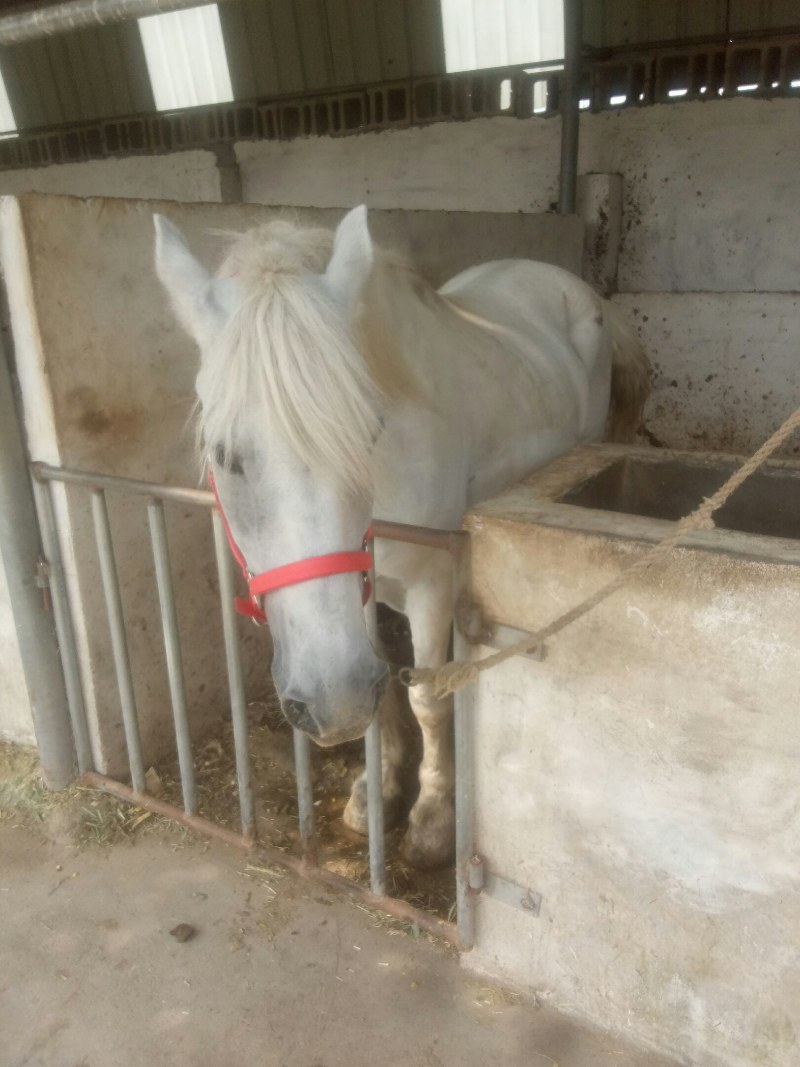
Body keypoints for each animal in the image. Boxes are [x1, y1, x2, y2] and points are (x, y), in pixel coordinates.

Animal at [153, 205, 650, 869]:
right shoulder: (363, 596)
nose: (329, 704)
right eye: (221, 453)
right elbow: (384, 689)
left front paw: (434, 820)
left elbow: (427, 699)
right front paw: (378, 790)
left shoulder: (432, 586)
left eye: (368, 435)